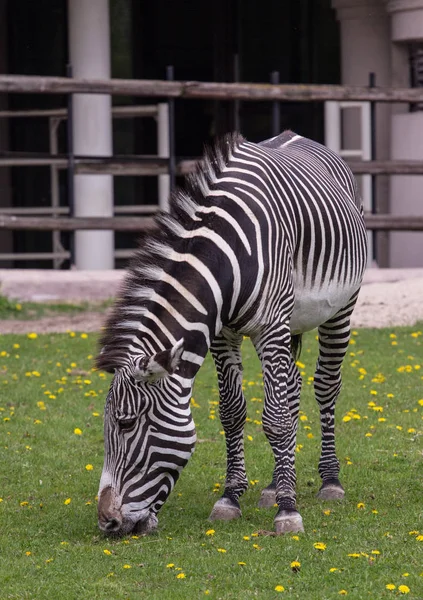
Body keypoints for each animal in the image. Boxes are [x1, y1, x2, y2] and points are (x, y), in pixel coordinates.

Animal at [95, 129, 368, 536]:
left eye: (126, 423)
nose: (106, 522)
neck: (225, 260)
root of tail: (296, 136)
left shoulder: (271, 326)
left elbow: (275, 418)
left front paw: (288, 511)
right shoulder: (223, 333)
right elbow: (233, 411)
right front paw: (231, 497)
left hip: (342, 306)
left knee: (325, 386)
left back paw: (329, 481)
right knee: (292, 387)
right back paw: (274, 485)